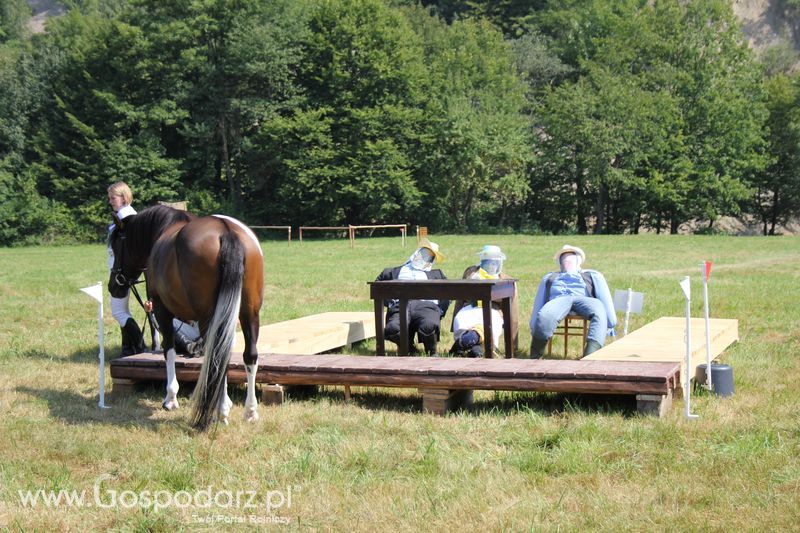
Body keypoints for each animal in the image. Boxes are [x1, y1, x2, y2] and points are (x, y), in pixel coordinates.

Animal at [108, 202, 266, 430]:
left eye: (114, 249)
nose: (114, 286)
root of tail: (226, 231)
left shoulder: (161, 309)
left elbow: (169, 350)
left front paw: (170, 398)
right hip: (250, 313)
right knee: (248, 355)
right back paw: (250, 411)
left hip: (209, 317)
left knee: (216, 354)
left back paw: (220, 412)